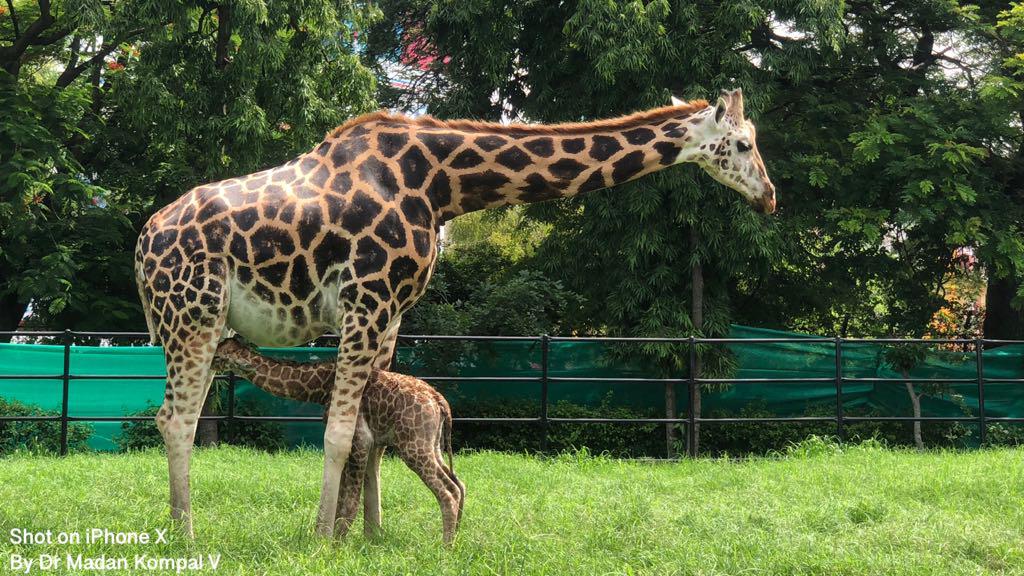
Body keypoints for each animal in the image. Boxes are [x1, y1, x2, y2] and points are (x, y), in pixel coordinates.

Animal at [212, 334, 468, 541]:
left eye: (220, 354)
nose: (209, 362)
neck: (319, 386)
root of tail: (440, 402)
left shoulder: (361, 439)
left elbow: (349, 500)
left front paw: (336, 544)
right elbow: (345, 495)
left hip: (413, 445)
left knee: (448, 492)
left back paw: (445, 547)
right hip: (432, 444)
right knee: (458, 484)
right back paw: (455, 537)